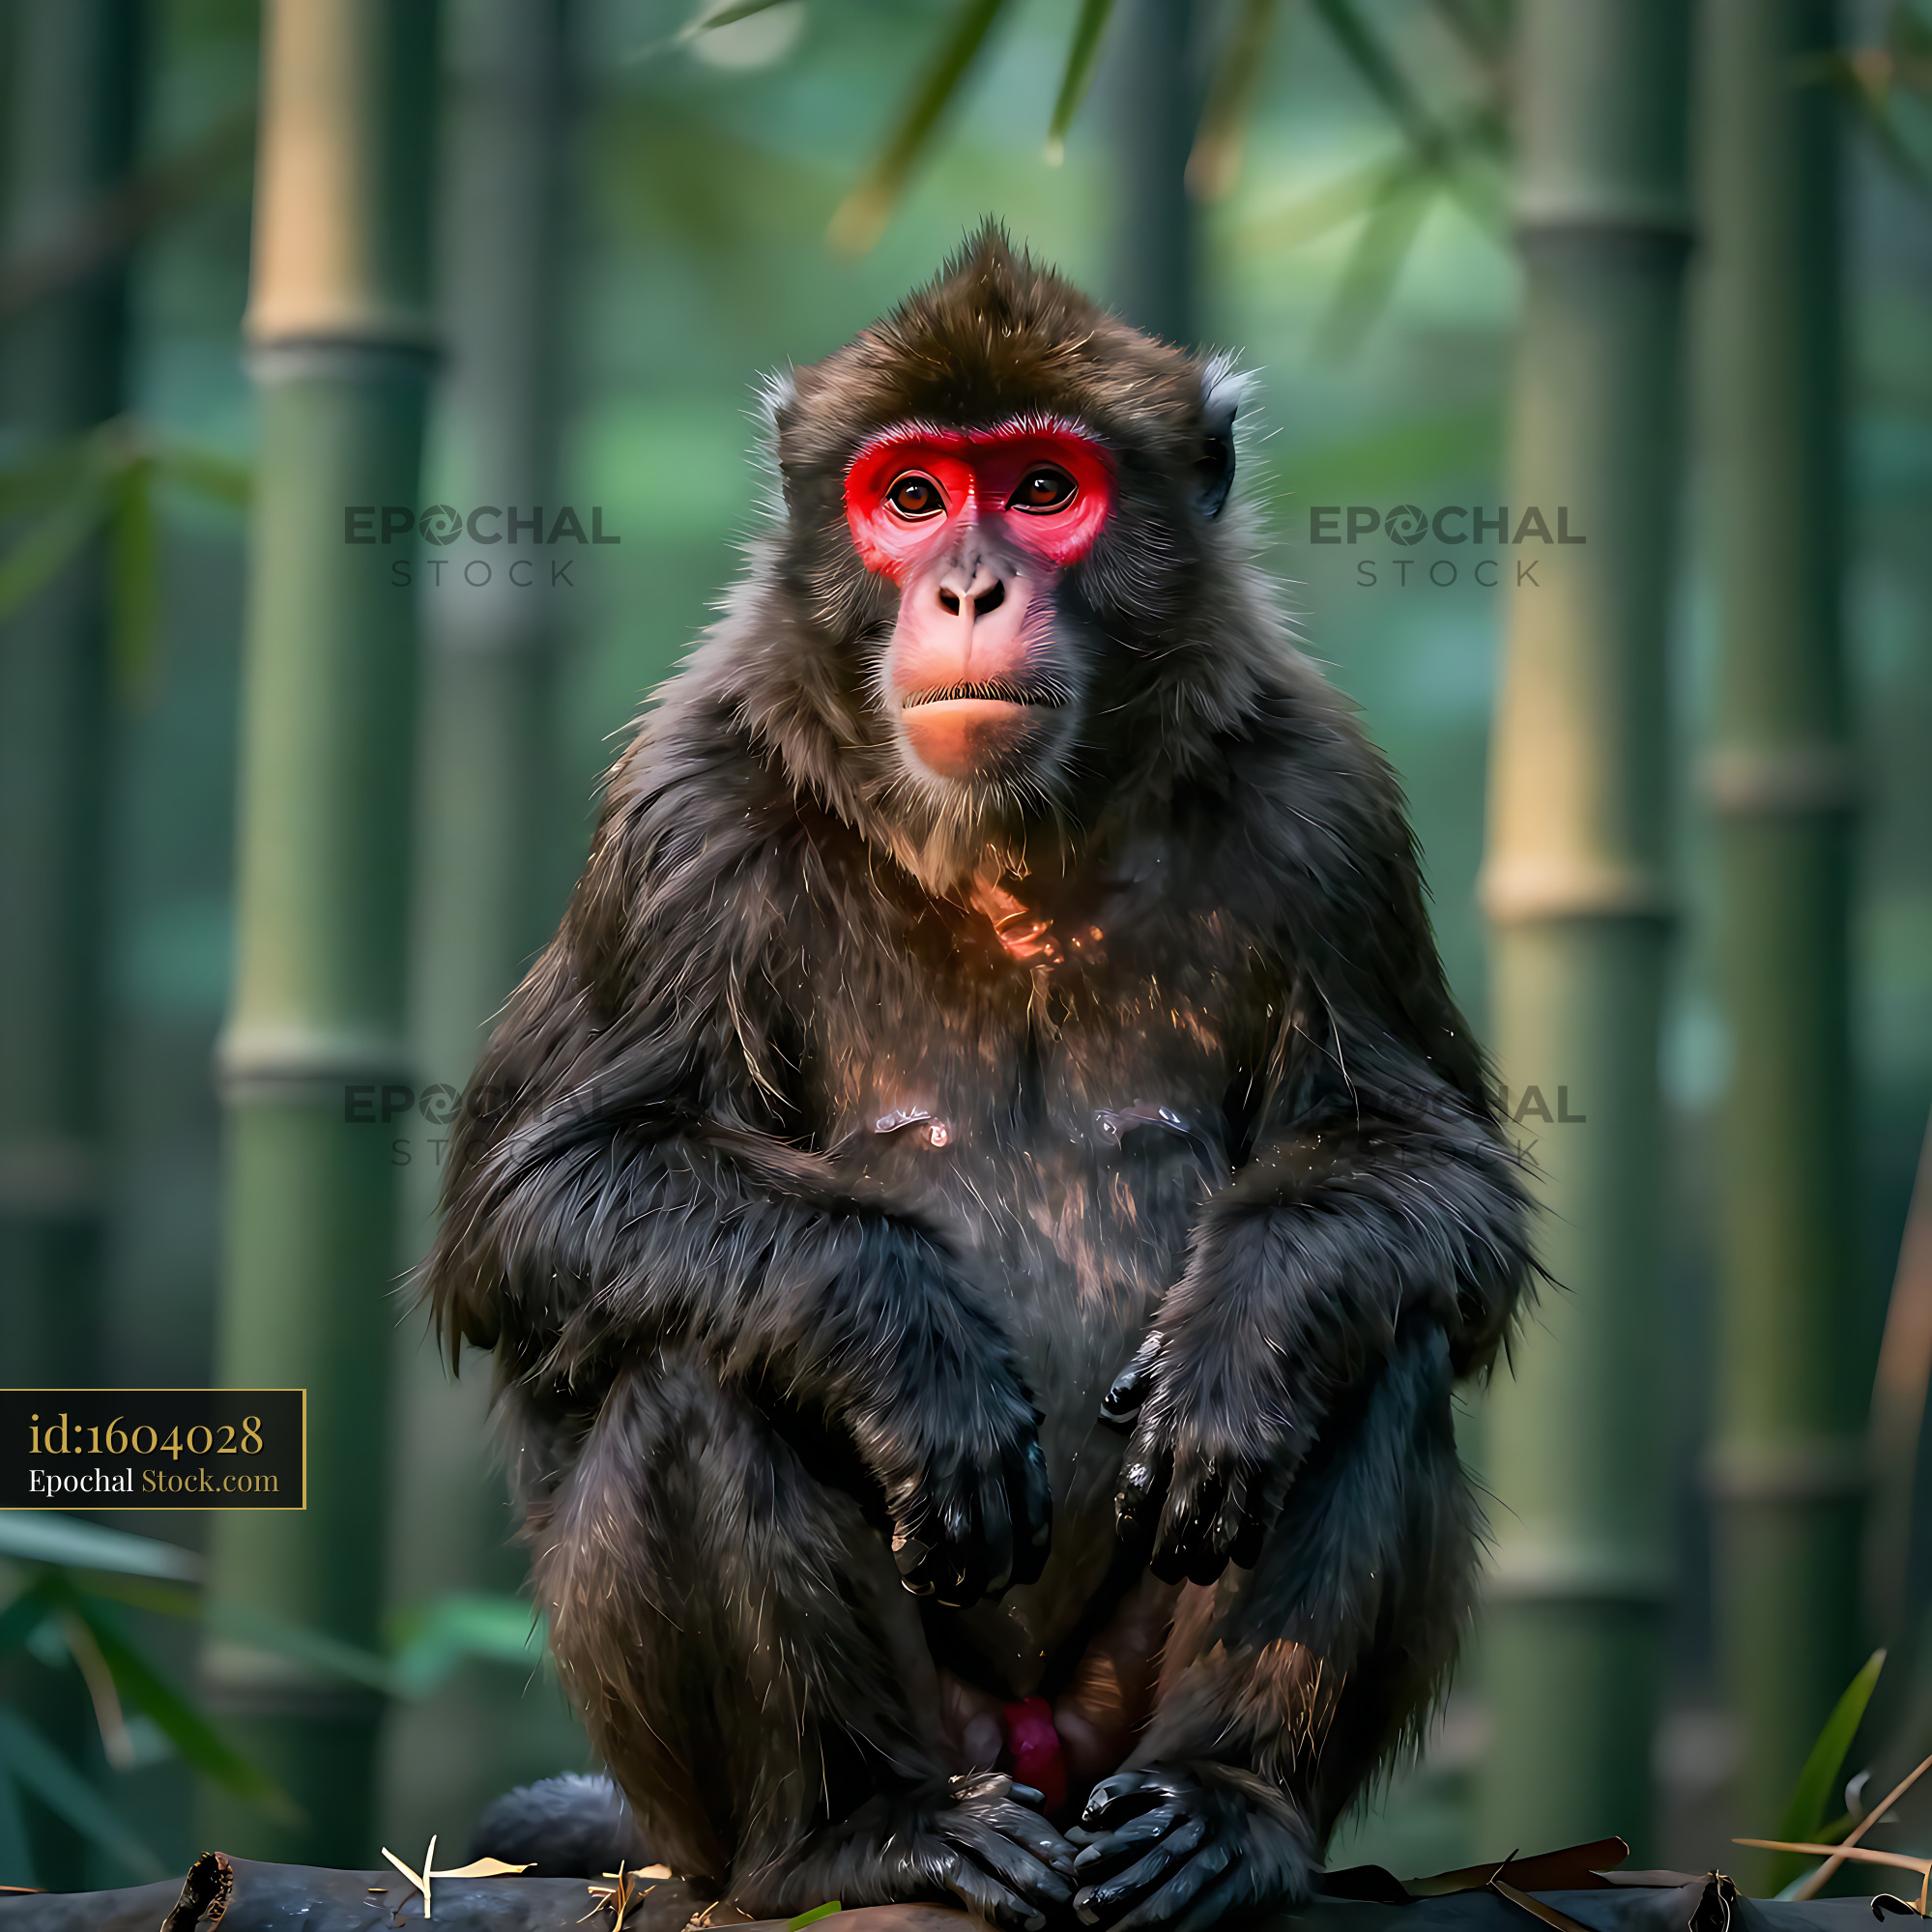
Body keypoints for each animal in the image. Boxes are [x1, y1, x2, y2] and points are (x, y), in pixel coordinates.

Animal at [427, 226, 1533, 1932]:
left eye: (1038, 488)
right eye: (907, 496)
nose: (964, 584)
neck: (1006, 847)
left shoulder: (1326, 807)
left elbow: (1430, 1178)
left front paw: (1244, 1334)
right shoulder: (682, 814)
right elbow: (538, 1198)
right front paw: (908, 1349)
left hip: (1103, 1721)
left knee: (1382, 1338)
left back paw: (1222, 1806)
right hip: (788, 1783)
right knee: (693, 1358)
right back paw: (852, 1826)